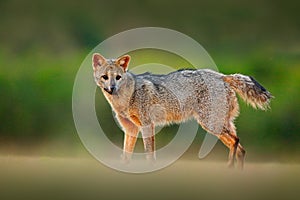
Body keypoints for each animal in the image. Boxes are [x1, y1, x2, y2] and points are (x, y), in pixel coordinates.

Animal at [92, 53, 274, 169]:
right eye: (105, 77)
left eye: (118, 77)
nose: (112, 89)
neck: (125, 98)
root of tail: (222, 75)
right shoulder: (131, 128)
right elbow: (125, 156)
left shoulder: (147, 125)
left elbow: (149, 154)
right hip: (217, 125)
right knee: (241, 149)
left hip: (210, 124)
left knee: (236, 140)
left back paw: (229, 167)